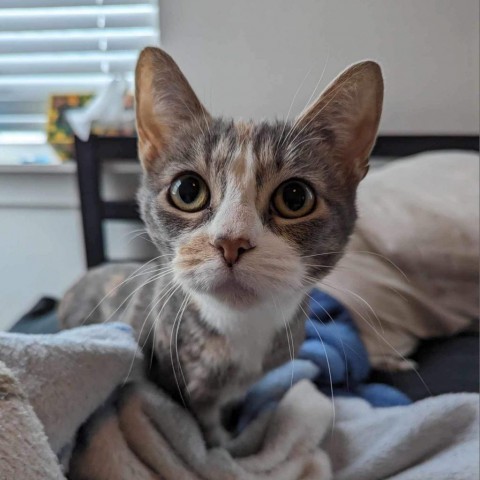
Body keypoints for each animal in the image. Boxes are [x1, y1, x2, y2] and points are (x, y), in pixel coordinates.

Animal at [59, 46, 382, 446]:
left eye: (295, 197)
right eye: (187, 190)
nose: (231, 241)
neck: (241, 328)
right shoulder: (180, 380)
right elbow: (204, 435)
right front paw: (224, 448)